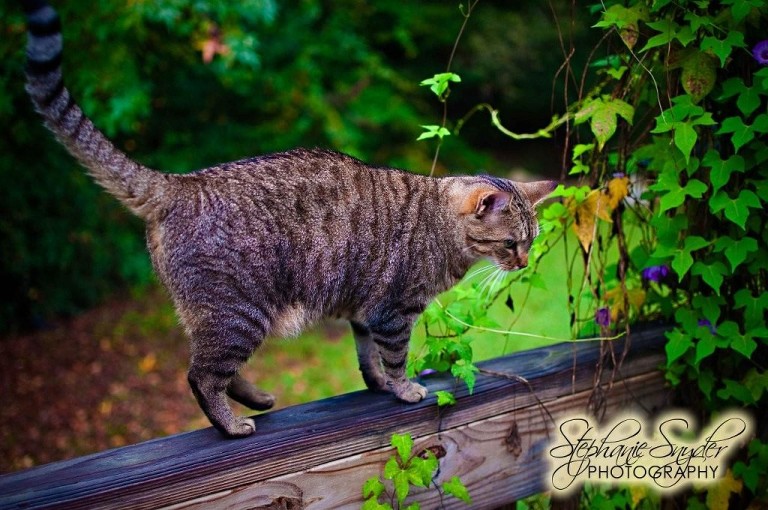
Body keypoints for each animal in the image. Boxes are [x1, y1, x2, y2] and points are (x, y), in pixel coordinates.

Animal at [22, 0, 552, 438]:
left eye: (530, 242)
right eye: (512, 244)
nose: (526, 263)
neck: (440, 226)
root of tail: (182, 182)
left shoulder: (364, 311)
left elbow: (368, 362)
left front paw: (380, 386)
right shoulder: (393, 311)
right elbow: (395, 358)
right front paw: (404, 389)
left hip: (213, 315)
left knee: (212, 367)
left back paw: (256, 400)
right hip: (239, 312)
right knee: (200, 375)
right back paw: (232, 424)